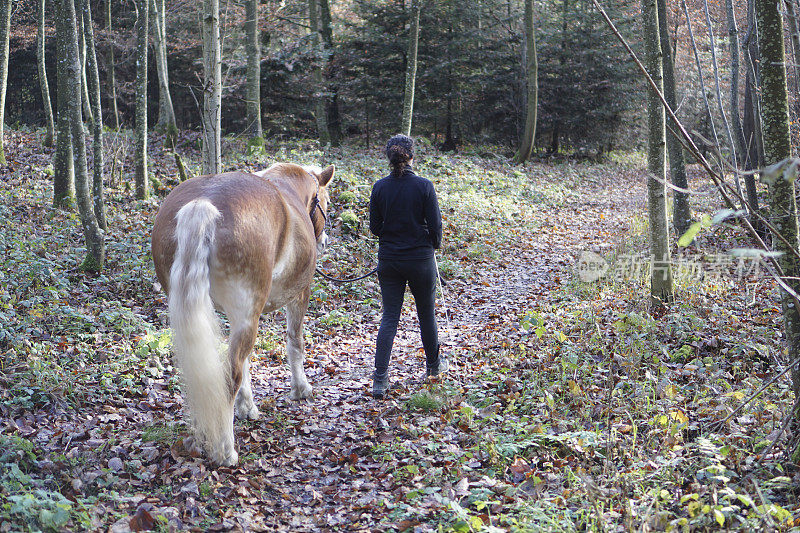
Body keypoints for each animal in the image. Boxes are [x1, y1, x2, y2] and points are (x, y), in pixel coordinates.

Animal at [151, 163, 334, 466]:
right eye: (325, 202)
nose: (324, 240)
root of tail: (203, 204)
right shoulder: (299, 295)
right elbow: (295, 342)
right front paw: (300, 389)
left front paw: (246, 407)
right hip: (248, 314)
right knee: (229, 378)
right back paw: (226, 451)